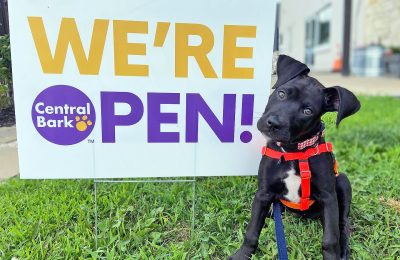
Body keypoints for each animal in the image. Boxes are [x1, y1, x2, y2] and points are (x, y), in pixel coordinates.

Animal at [230, 55, 360, 260]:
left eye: (307, 111)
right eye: (282, 94)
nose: (273, 123)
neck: (293, 151)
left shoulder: (328, 198)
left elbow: (330, 240)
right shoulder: (263, 193)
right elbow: (252, 231)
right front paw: (242, 254)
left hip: (343, 182)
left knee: (343, 224)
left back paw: (345, 247)